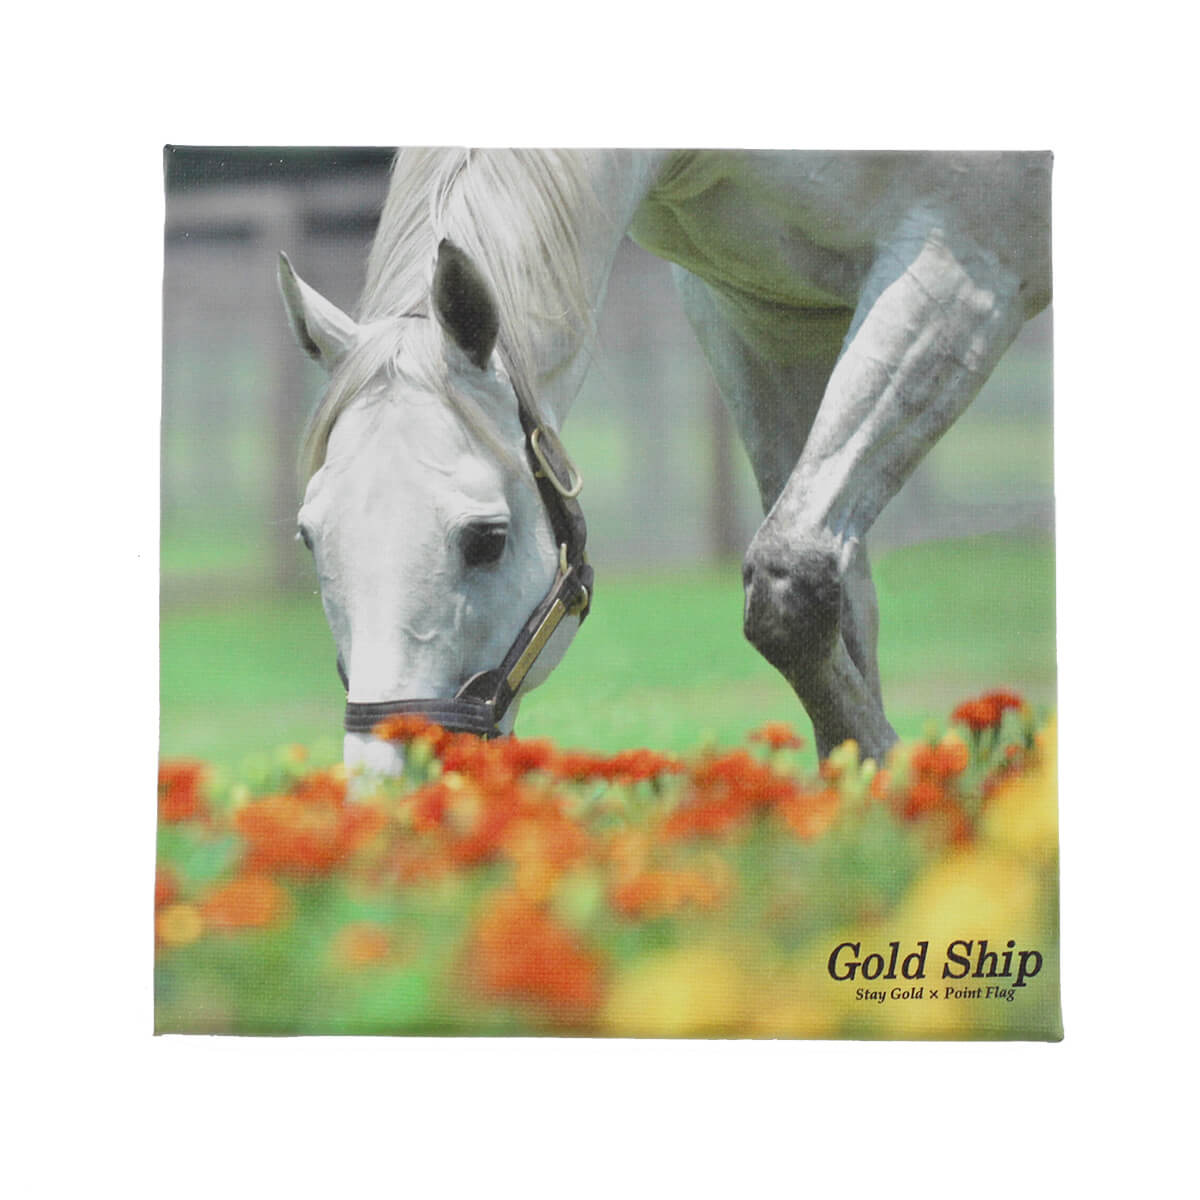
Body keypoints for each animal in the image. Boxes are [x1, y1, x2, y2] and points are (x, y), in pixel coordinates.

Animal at [278, 149, 1051, 774]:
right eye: (309, 537)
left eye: (487, 539)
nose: (385, 780)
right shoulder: (756, 312)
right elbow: (841, 589)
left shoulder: (961, 274)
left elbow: (791, 581)